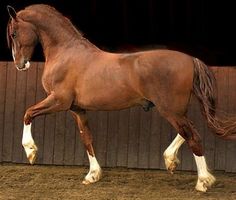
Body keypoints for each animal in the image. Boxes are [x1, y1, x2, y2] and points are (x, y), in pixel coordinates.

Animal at [6, 4, 236, 192]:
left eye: (14, 33)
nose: (20, 64)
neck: (66, 53)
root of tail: (191, 59)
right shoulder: (77, 109)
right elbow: (87, 138)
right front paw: (93, 175)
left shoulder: (59, 101)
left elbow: (28, 113)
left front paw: (31, 152)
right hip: (176, 110)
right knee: (189, 130)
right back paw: (171, 160)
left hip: (170, 109)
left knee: (193, 136)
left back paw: (203, 181)